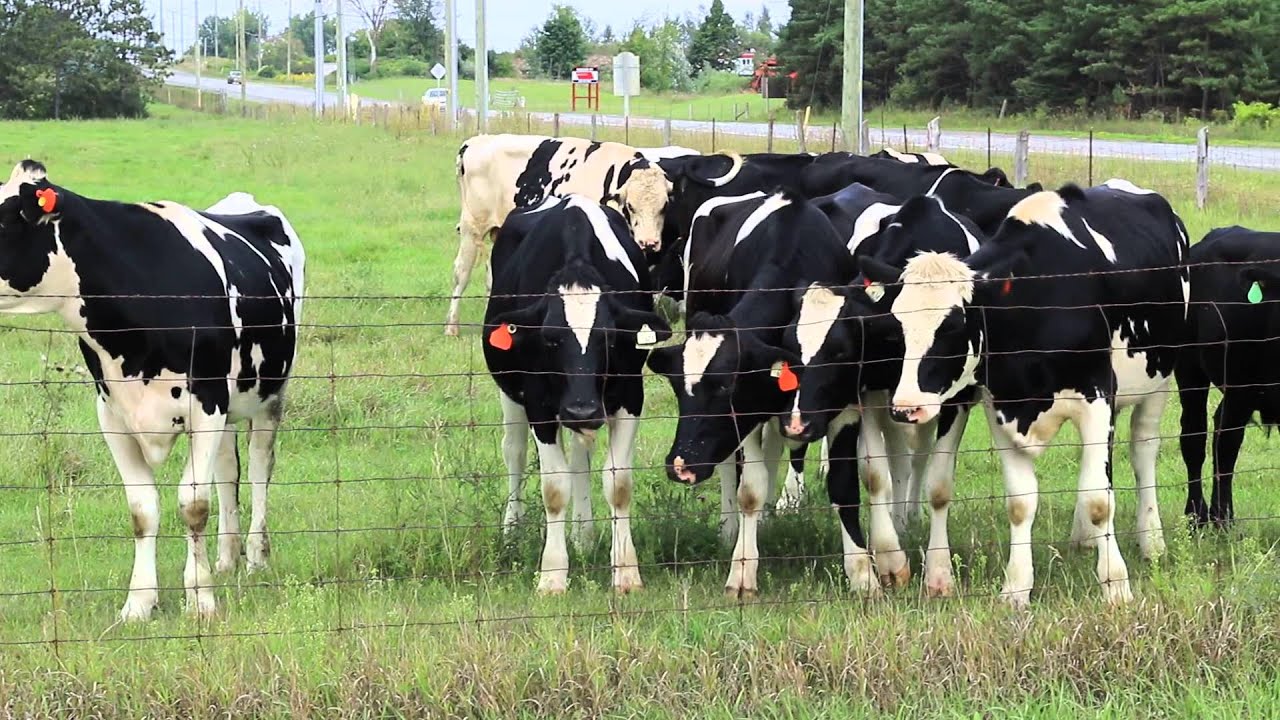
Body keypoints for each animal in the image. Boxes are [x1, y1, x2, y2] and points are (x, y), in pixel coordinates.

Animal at [0, 160, 305, 621]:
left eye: (1, 221)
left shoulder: (206, 405)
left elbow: (193, 505)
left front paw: (201, 600)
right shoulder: (112, 413)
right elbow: (143, 510)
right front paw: (139, 603)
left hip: (269, 393)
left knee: (257, 468)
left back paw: (255, 557)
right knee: (228, 472)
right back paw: (227, 559)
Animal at [447, 134, 673, 335]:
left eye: (664, 206)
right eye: (631, 206)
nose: (649, 242)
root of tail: (475, 141)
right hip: (471, 226)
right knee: (461, 272)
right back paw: (452, 327)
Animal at [482, 194, 670, 595]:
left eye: (609, 338)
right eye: (550, 338)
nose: (581, 410)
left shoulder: (630, 395)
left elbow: (617, 483)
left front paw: (626, 571)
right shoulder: (539, 403)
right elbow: (554, 488)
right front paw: (553, 575)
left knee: (580, 460)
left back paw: (584, 536)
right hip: (511, 393)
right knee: (515, 453)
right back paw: (511, 533)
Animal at [646, 188, 908, 597]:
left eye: (727, 387)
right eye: (679, 390)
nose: (681, 466)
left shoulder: (845, 406)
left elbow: (849, 484)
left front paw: (864, 574)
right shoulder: (753, 415)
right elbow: (750, 489)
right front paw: (742, 571)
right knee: (735, 468)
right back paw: (733, 530)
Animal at [858, 179, 1190, 607]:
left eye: (953, 325)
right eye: (896, 325)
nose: (906, 406)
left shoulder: (1097, 396)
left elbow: (1100, 499)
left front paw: (1116, 586)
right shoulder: (1001, 404)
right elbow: (1020, 502)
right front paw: (1015, 588)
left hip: (1159, 379)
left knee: (1143, 450)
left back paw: (1152, 541)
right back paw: (1084, 539)